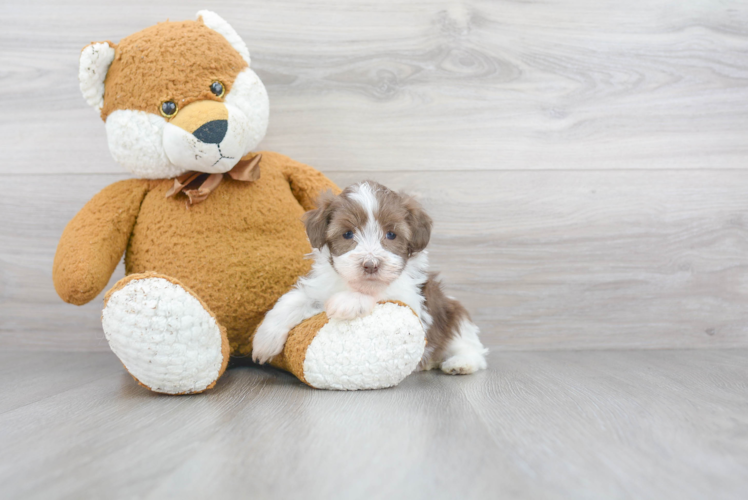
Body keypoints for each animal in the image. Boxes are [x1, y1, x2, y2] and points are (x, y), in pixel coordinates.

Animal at [251, 182, 488, 374]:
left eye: (391, 235)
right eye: (347, 234)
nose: (371, 264)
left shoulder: (412, 300)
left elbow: (382, 292)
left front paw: (348, 301)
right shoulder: (320, 287)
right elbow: (294, 300)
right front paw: (264, 339)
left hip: (454, 315)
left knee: (468, 346)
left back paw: (460, 363)